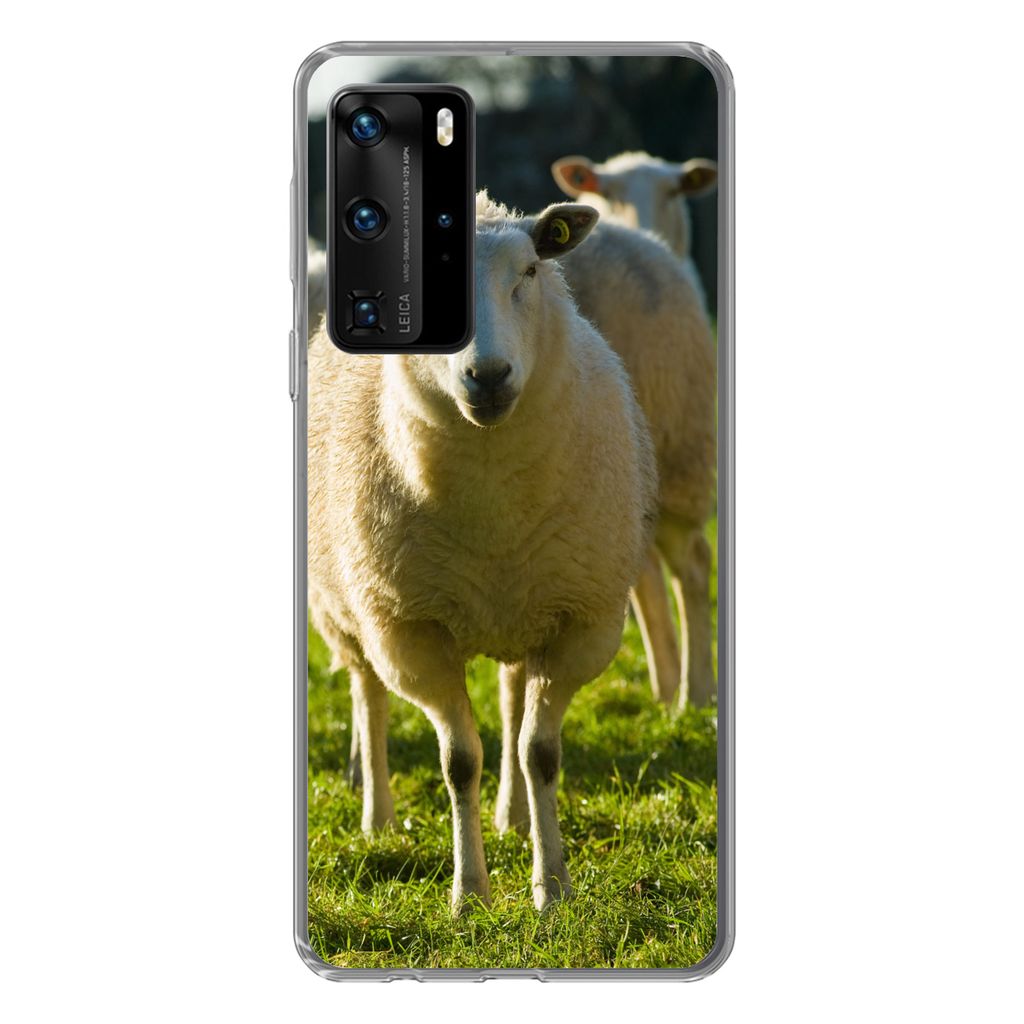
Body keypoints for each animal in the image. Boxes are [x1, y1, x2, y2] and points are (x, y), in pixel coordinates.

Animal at [308, 193, 658, 911]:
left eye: (529, 270)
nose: (489, 376)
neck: (494, 504)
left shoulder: (579, 621)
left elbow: (539, 753)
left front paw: (552, 887)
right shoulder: (411, 632)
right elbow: (457, 760)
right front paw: (470, 892)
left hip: (524, 605)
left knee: (512, 700)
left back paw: (513, 816)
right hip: (350, 608)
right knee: (368, 696)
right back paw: (378, 817)